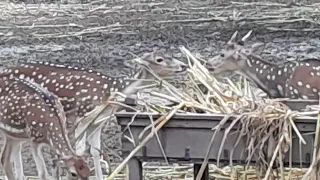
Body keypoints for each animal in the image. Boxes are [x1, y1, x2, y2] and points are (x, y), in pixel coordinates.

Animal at [3, 51, 186, 179]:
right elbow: (80, 150)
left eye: (170, 54)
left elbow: (95, 151)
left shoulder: (98, 122)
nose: (183, 66)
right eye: (159, 59)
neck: (110, 91)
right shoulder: (82, 117)